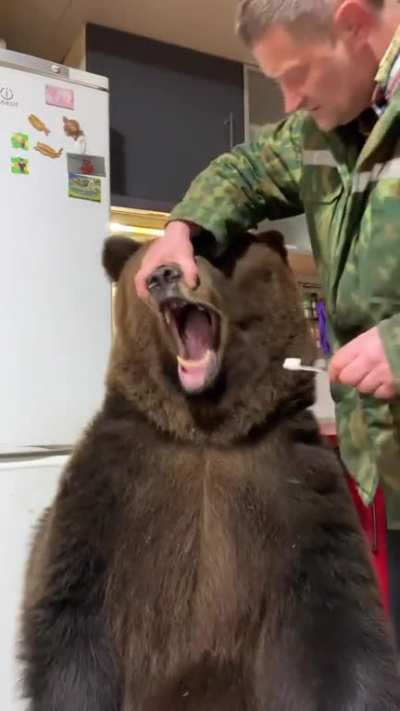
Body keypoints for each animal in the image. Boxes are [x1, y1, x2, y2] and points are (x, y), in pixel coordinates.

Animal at [19, 230, 400, 711]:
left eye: (215, 249)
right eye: (150, 263)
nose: (165, 275)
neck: (207, 431)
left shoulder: (298, 494)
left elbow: (339, 636)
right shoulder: (110, 494)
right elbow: (73, 620)